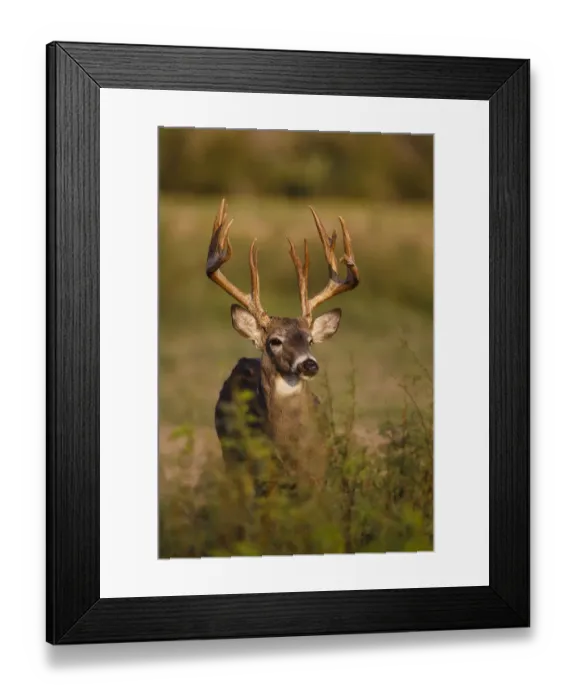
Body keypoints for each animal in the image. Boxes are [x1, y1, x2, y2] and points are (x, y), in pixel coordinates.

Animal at [206, 199, 360, 496]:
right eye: (274, 341)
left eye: (309, 340)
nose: (309, 364)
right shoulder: (263, 476)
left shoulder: (318, 473)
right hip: (231, 455)